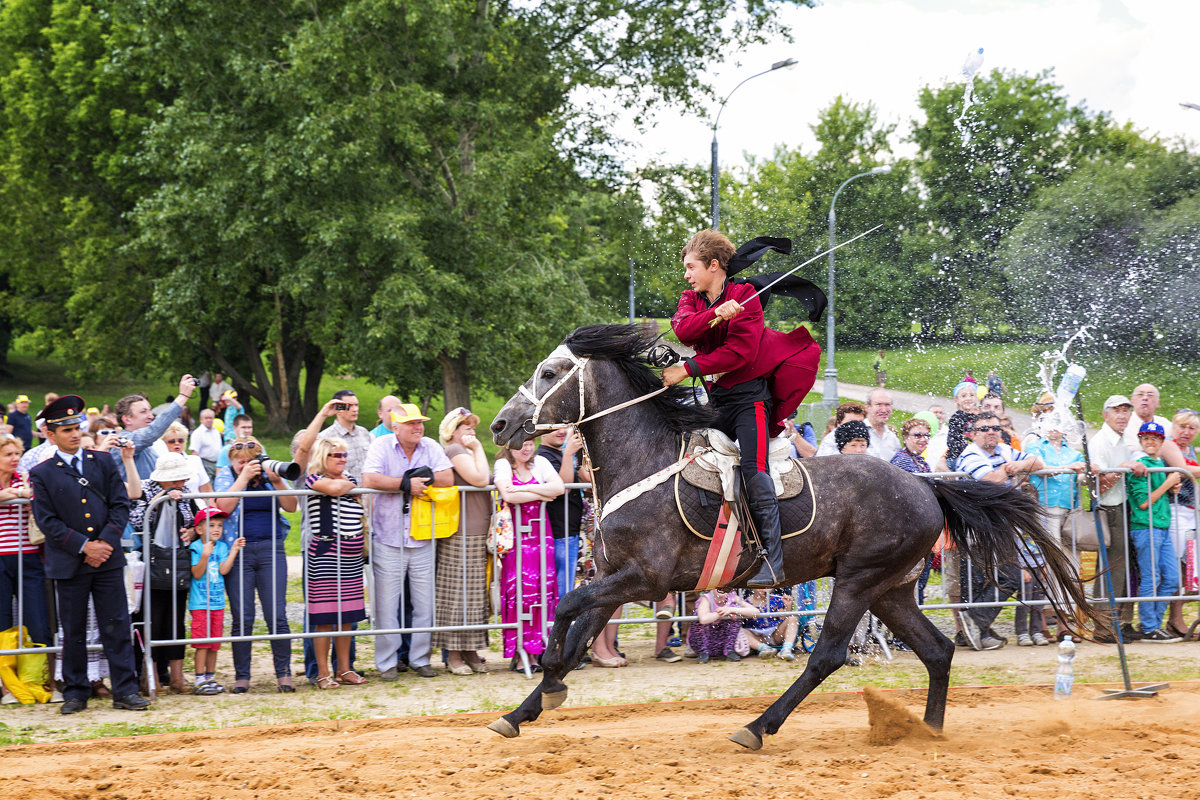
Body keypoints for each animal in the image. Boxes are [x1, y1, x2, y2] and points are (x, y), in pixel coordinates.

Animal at [487, 321, 1099, 748]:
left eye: (550, 373)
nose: (499, 424)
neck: (645, 459)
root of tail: (926, 484)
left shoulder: (644, 578)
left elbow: (567, 607)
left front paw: (549, 674)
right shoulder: (615, 577)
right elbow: (578, 631)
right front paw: (524, 709)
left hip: (858, 581)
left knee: (826, 656)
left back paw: (759, 727)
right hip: (892, 589)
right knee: (938, 649)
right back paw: (928, 732)